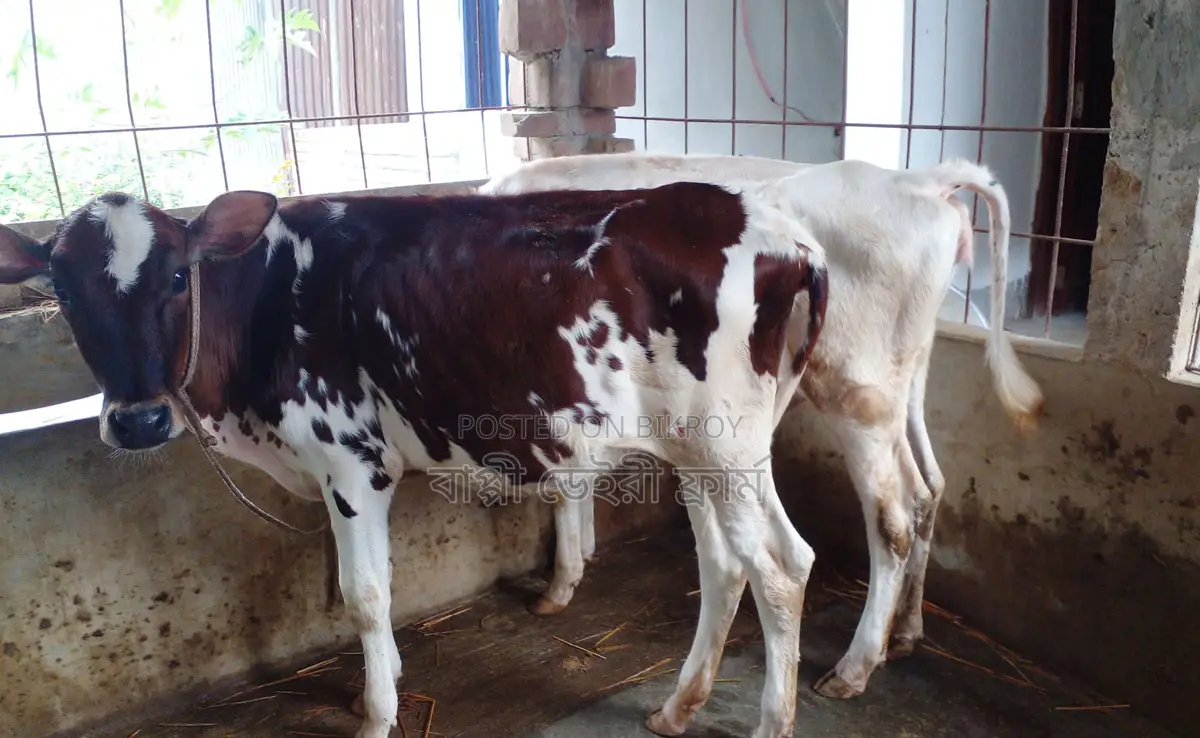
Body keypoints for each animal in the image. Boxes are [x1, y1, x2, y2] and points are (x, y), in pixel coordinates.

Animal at [0, 181, 829, 738]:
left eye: (177, 276)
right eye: (62, 291)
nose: (137, 420)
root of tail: (784, 234)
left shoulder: (350, 463)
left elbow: (363, 594)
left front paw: (375, 713)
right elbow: (383, 585)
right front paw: (386, 681)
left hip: (727, 446)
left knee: (781, 568)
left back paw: (770, 720)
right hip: (699, 452)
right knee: (724, 565)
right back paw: (678, 705)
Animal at [481, 151, 1044, 701]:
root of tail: (924, 180)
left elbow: (561, 484)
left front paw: (559, 584)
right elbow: (578, 477)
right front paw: (580, 559)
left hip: (854, 390)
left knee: (893, 523)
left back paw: (854, 667)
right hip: (903, 383)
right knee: (928, 486)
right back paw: (904, 632)